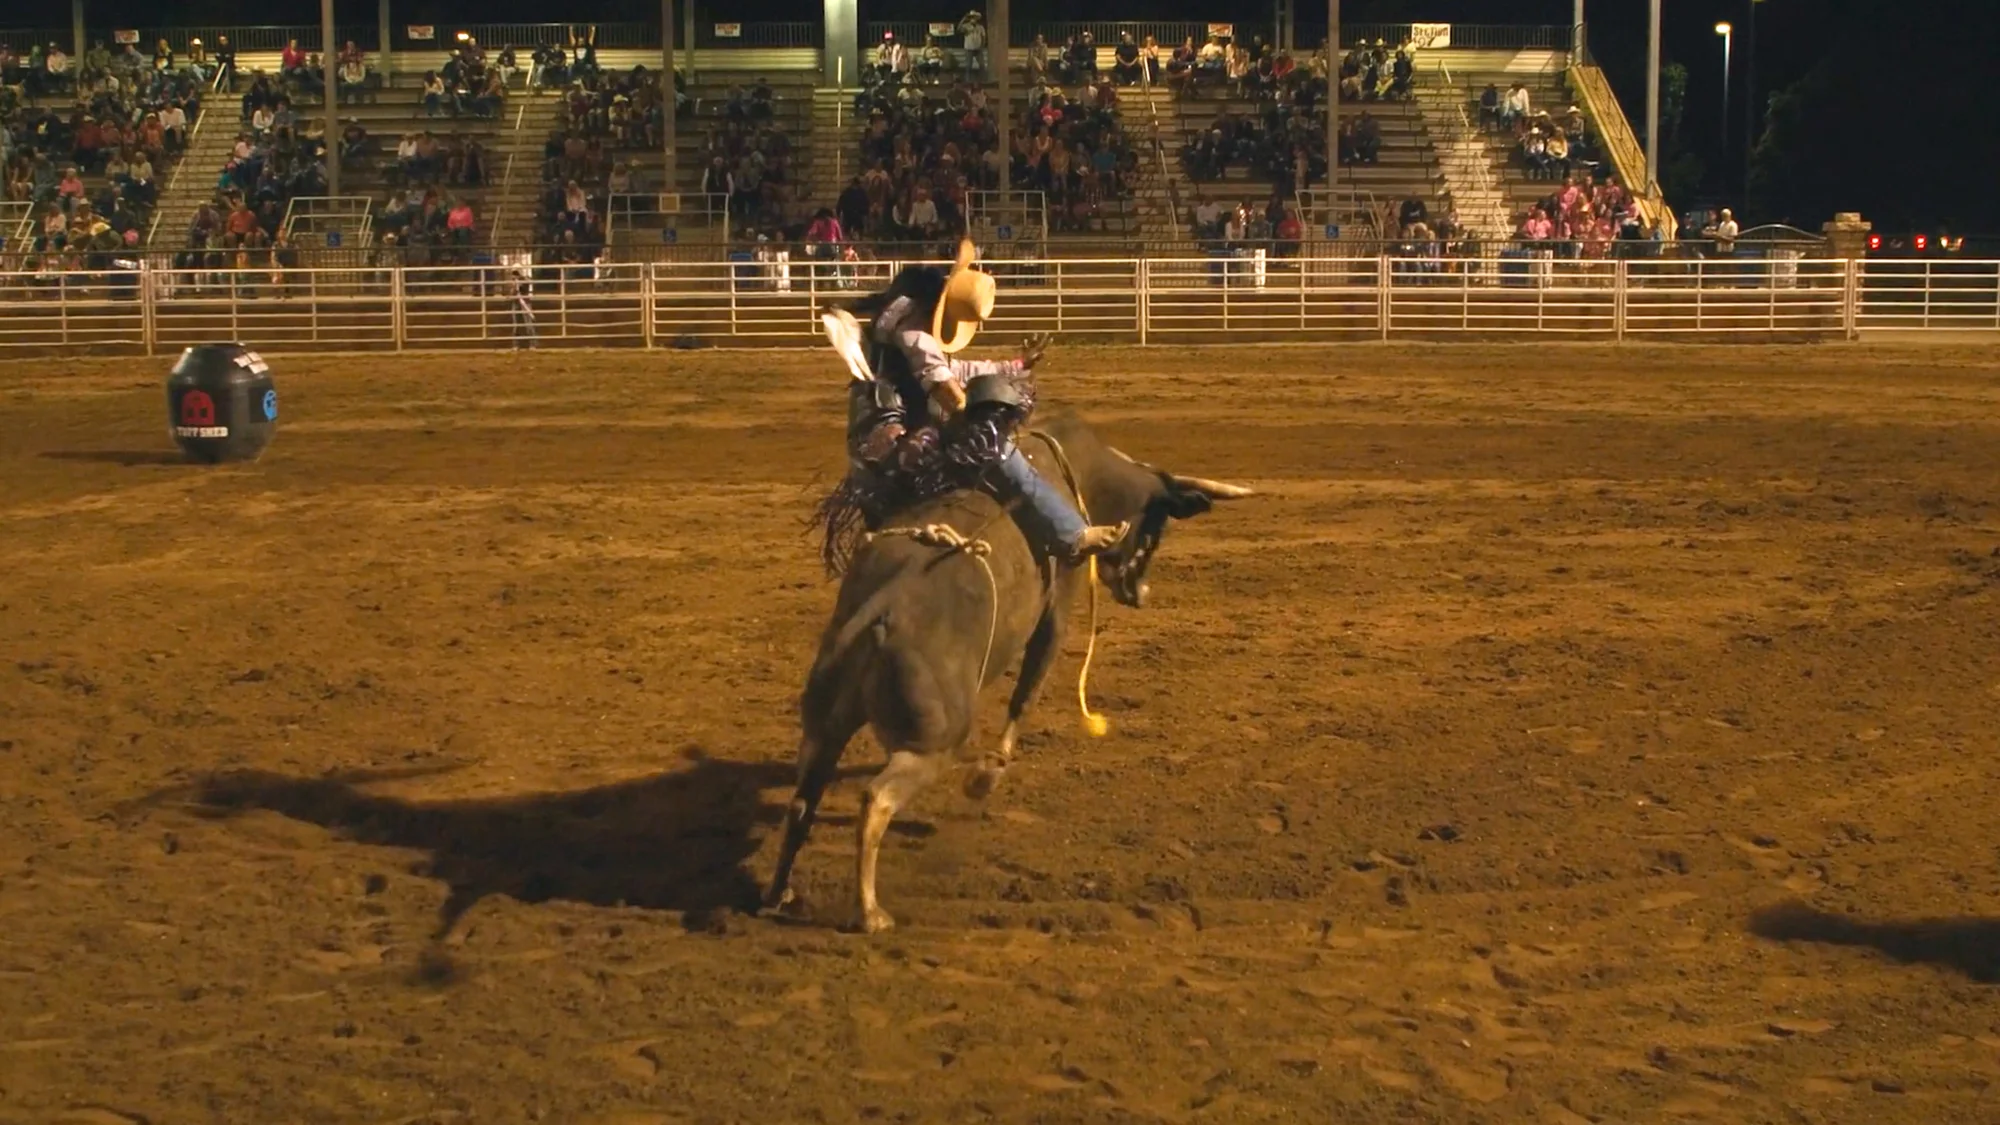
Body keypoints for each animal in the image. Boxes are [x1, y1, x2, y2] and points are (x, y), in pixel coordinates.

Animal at [764, 411, 1252, 932]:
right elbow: (1027, 692)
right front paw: (986, 777)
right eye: (1157, 528)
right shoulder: (1058, 605)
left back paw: (779, 893)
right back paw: (870, 911)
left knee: (803, 800)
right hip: (931, 742)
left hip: (824, 728)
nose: (1141, 593)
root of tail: (882, 611)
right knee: (877, 799)